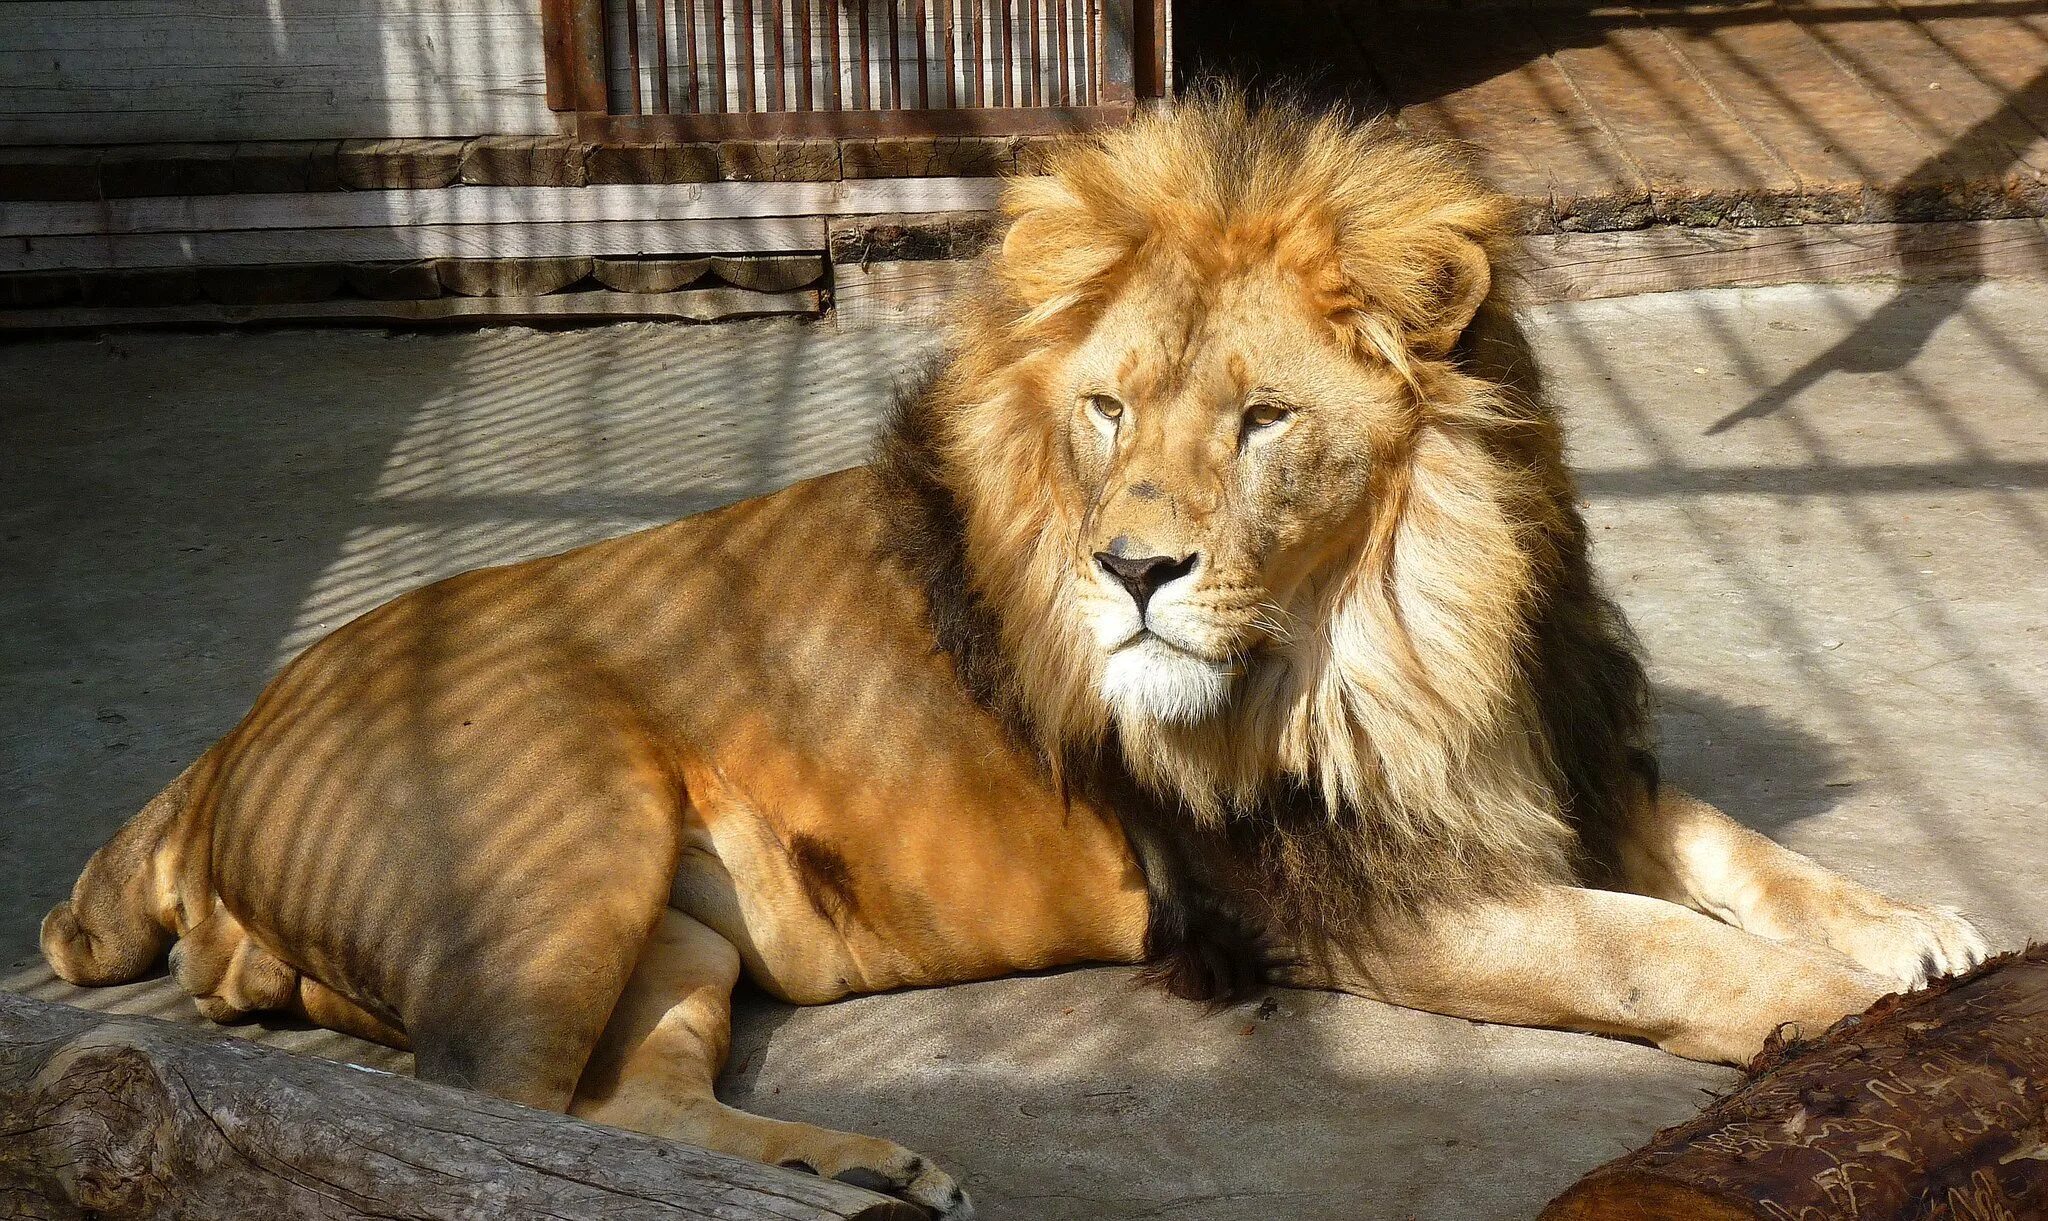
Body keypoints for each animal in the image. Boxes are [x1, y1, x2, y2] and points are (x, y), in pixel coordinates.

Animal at [36, 95, 1982, 1212]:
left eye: (1262, 419)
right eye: (1108, 407)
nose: (1131, 567)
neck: (1406, 623)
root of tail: (216, 754)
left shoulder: (1545, 755)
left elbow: (1734, 848)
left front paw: (1917, 931)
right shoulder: (1338, 894)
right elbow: (1649, 947)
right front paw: (1856, 1015)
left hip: (665, 928)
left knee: (617, 1106)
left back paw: (848, 1182)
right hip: (560, 844)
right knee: (488, 1124)